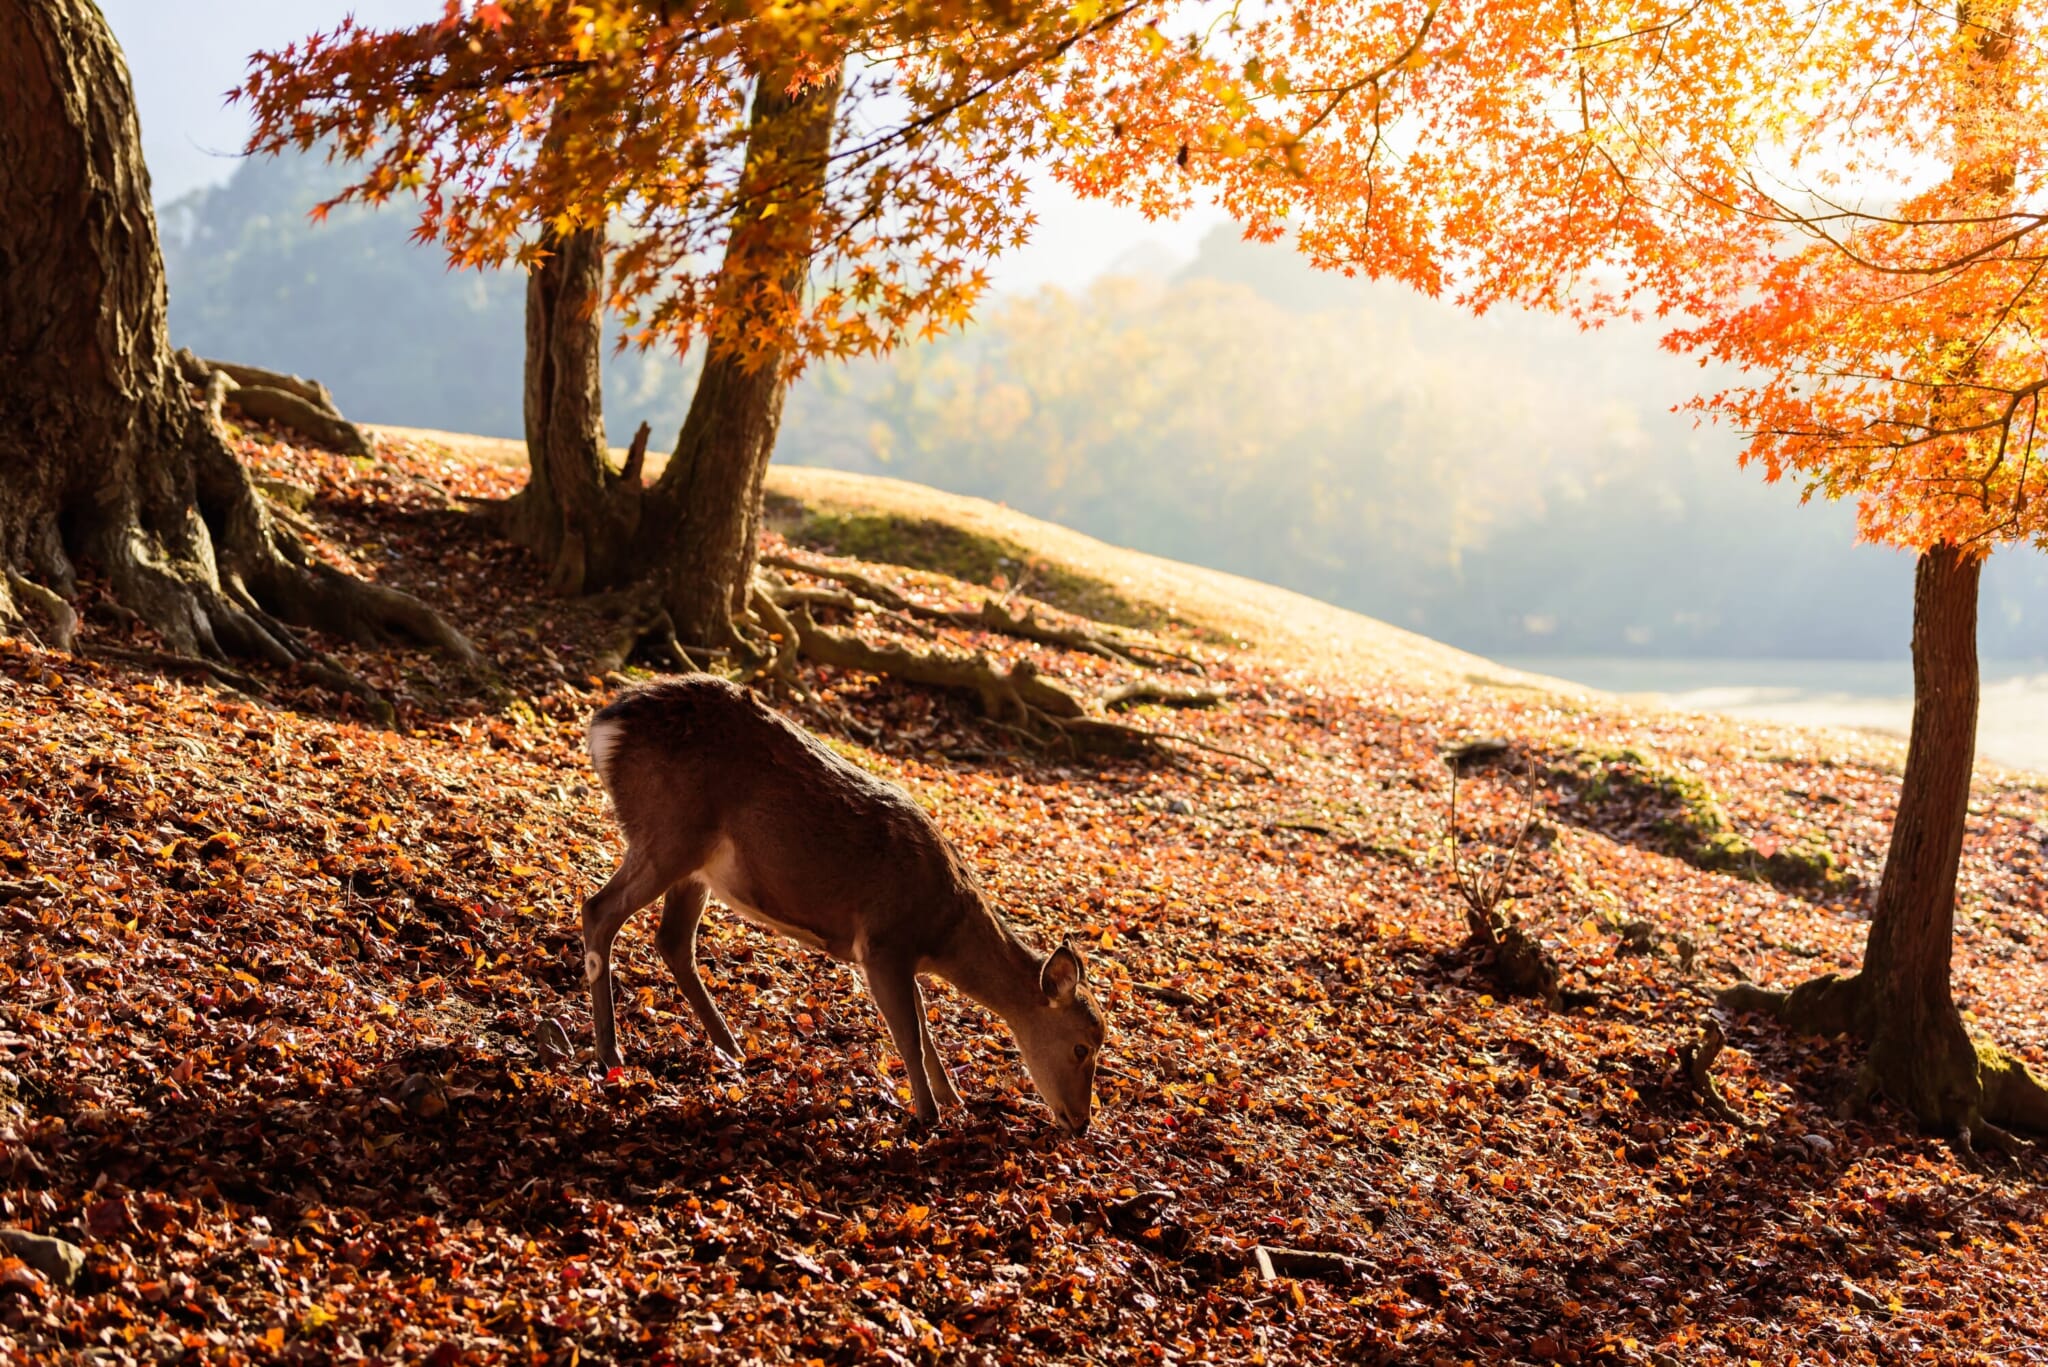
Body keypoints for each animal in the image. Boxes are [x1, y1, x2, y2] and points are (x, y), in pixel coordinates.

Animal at [577, 672, 1105, 1131]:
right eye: (1082, 1046)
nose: (1081, 1124)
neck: (944, 931)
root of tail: (604, 726)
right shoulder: (883, 942)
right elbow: (909, 1034)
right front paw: (928, 1115)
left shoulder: (902, 957)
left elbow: (923, 1026)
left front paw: (953, 1099)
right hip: (668, 832)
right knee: (599, 910)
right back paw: (610, 1054)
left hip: (696, 865)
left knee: (672, 940)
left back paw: (731, 1048)